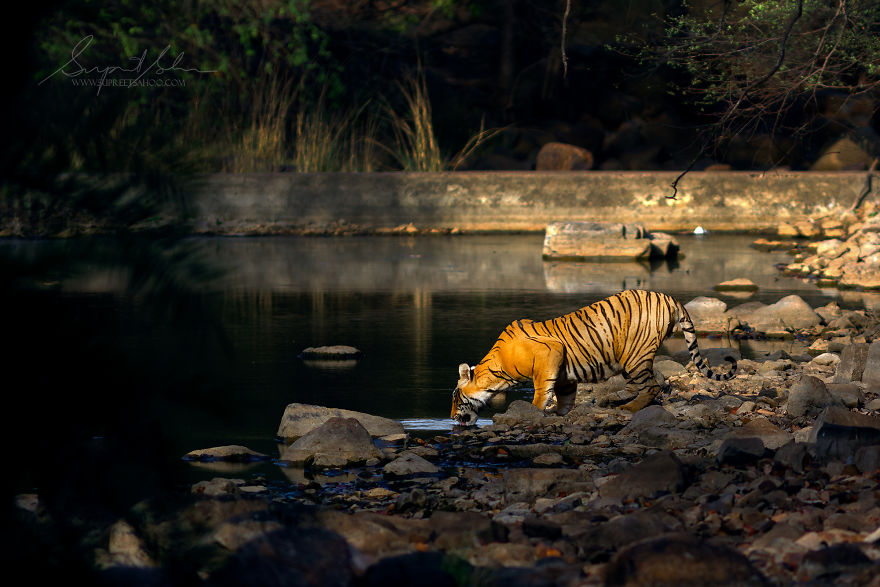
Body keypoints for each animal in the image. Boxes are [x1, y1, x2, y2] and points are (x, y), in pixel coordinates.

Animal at [450, 289, 736, 426]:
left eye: (455, 398)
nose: (452, 417)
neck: (497, 371)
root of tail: (669, 298)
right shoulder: (563, 375)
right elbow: (564, 397)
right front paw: (559, 414)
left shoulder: (549, 355)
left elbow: (541, 392)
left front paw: (533, 412)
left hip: (635, 356)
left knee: (652, 386)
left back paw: (627, 408)